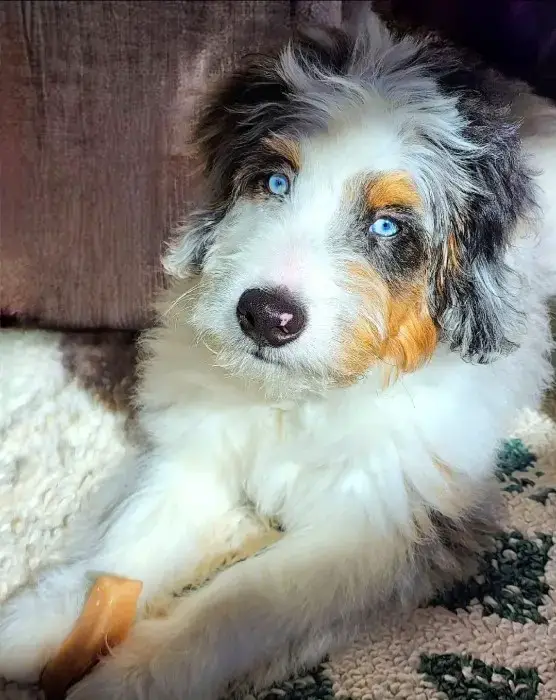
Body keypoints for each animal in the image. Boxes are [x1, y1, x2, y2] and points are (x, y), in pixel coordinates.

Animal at [1, 6, 556, 700]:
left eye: (387, 226)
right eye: (274, 181)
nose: (266, 316)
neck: (298, 400)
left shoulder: (377, 526)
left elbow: (234, 605)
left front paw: (126, 679)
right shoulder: (196, 453)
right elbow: (124, 549)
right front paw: (36, 626)